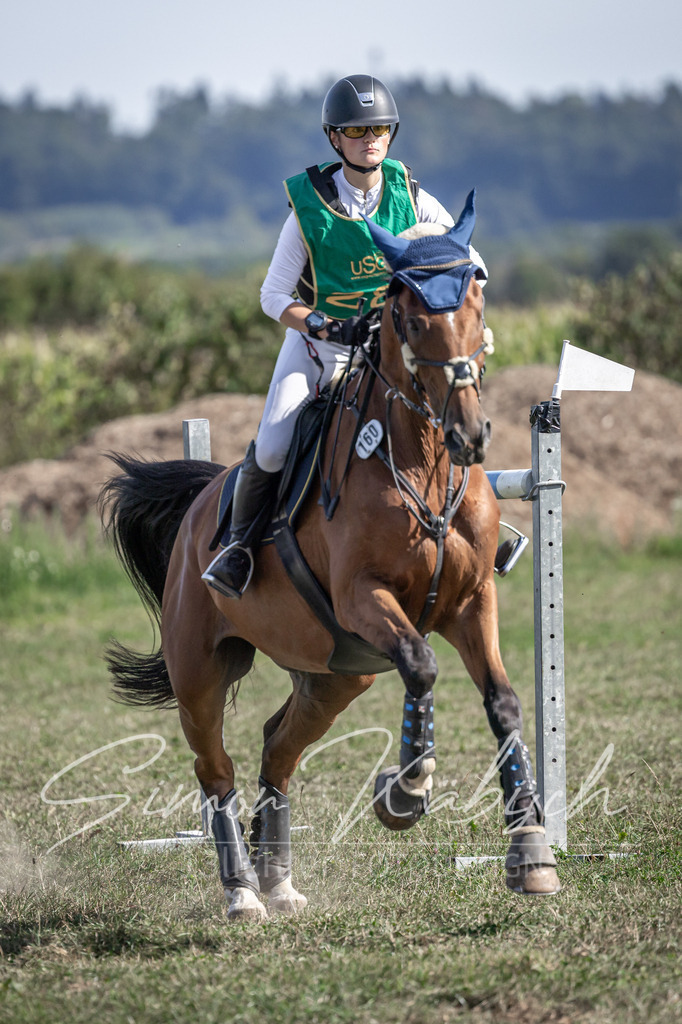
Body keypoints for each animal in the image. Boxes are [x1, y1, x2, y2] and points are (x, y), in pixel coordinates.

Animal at [100, 192, 560, 921]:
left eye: (477, 306)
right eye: (408, 318)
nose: (470, 434)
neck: (421, 464)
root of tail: (202, 500)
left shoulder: (470, 603)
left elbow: (505, 703)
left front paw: (532, 853)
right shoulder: (363, 598)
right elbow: (422, 667)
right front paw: (405, 792)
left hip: (335, 673)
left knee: (277, 747)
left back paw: (278, 880)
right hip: (201, 672)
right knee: (215, 768)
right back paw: (242, 892)